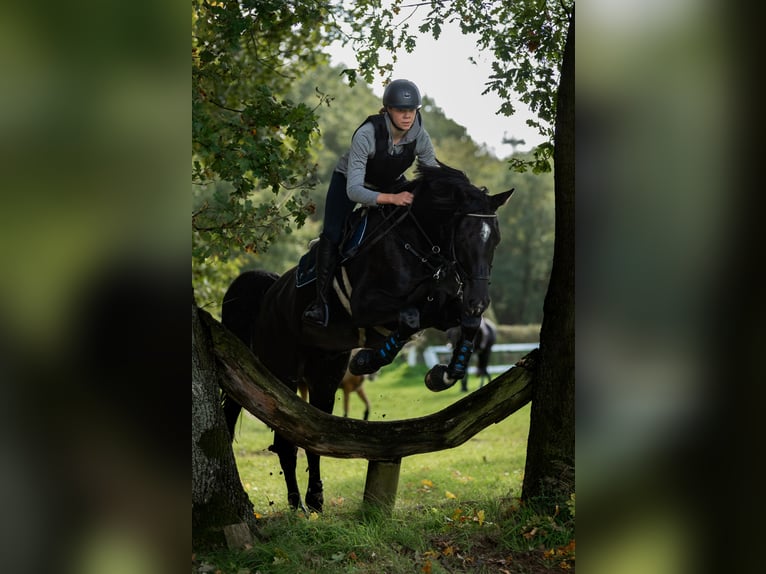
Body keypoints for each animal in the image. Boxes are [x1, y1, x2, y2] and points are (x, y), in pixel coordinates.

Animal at [220, 161, 516, 512]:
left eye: (495, 239)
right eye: (465, 236)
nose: (480, 299)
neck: (418, 246)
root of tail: (269, 295)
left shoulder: (441, 309)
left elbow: (463, 321)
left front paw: (445, 373)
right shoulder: (367, 306)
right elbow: (409, 317)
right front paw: (367, 360)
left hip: (324, 374)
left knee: (313, 435)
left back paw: (315, 498)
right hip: (282, 371)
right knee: (285, 440)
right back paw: (297, 505)